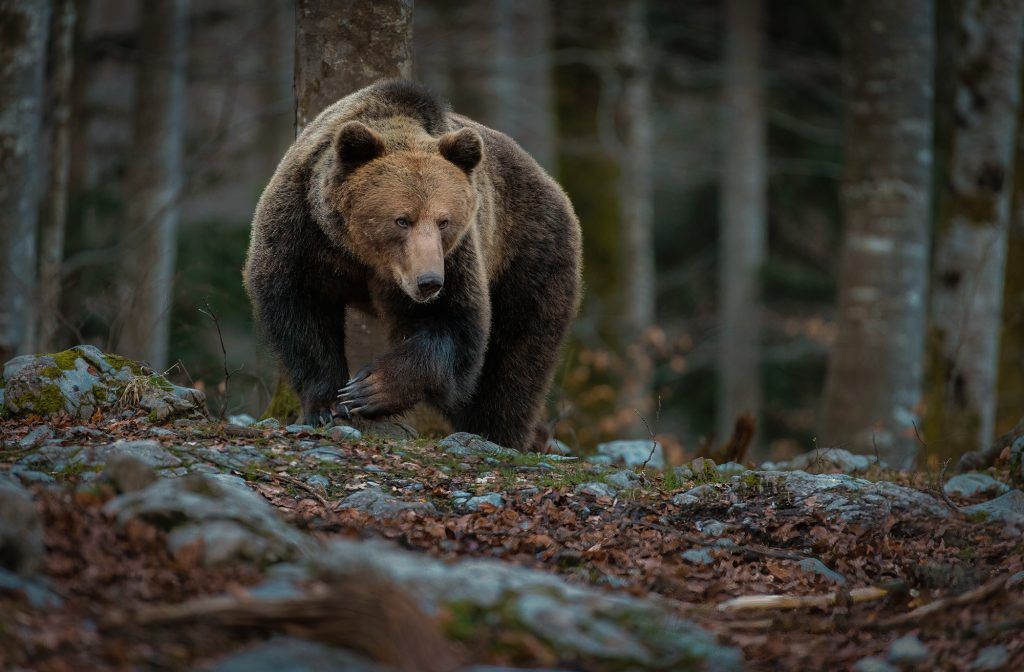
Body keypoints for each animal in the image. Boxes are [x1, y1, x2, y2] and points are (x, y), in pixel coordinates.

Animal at [244, 80, 582, 452]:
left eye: (444, 221)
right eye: (401, 220)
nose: (429, 281)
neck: (363, 255)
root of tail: (552, 185)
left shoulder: (457, 255)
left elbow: (453, 324)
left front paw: (370, 388)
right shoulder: (303, 229)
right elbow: (297, 306)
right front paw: (326, 404)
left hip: (529, 252)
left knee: (516, 359)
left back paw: (499, 434)